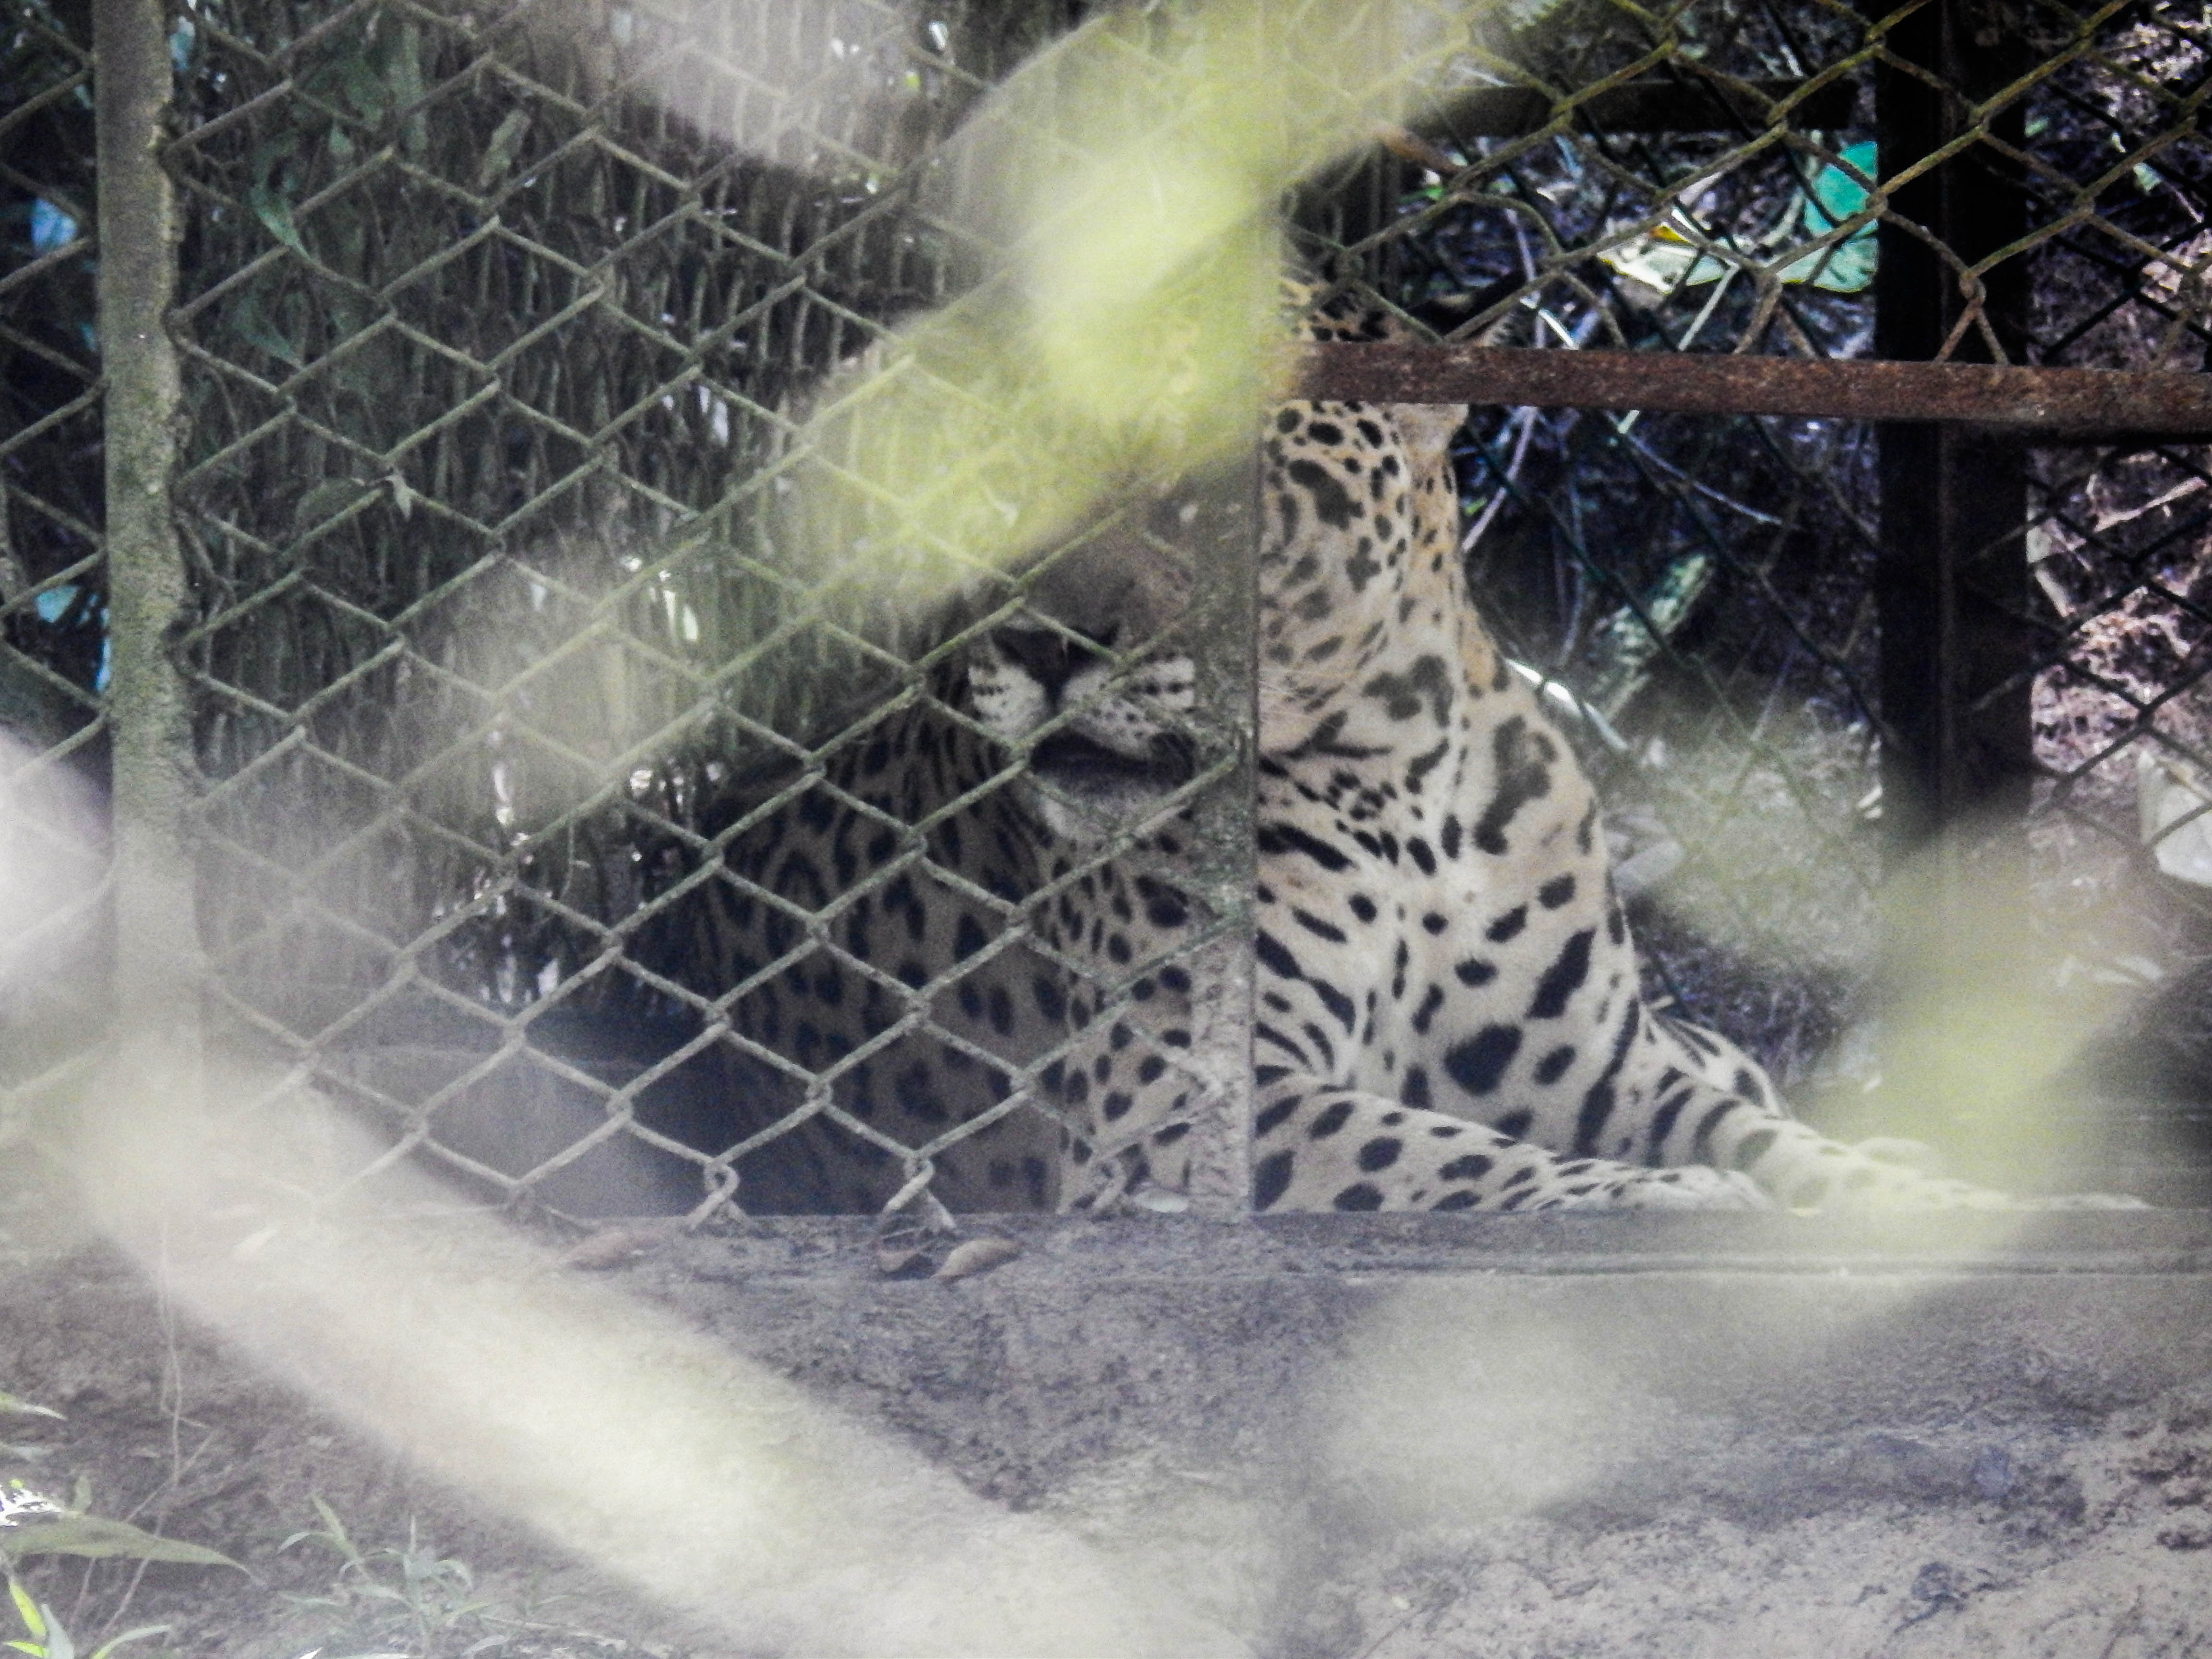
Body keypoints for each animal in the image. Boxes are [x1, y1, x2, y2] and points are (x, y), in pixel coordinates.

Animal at [642, 306, 2135, 1219]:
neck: (1402, 777)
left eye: (1214, 487)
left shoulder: (1613, 1070)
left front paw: (1980, 1207)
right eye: (1006, 479)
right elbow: (1448, 1153)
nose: (1043, 640)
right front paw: (1669, 1202)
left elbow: (1777, 1141)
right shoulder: (1178, 1106)